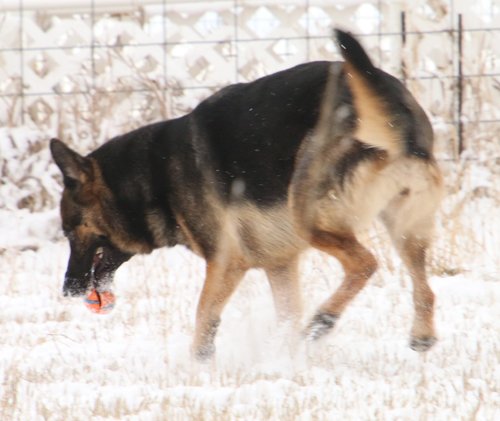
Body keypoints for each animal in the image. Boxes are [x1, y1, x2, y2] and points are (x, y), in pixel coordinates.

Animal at [50, 29, 443, 359]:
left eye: (70, 232)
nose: (67, 290)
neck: (152, 177)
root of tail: (399, 121)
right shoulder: (279, 264)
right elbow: (286, 314)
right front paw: (285, 357)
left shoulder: (227, 261)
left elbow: (204, 314)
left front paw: (199, 364)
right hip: (406, 227)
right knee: (424, 288)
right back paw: (420, 337)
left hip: (309, 216)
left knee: (366, 263)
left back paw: (324, 319)